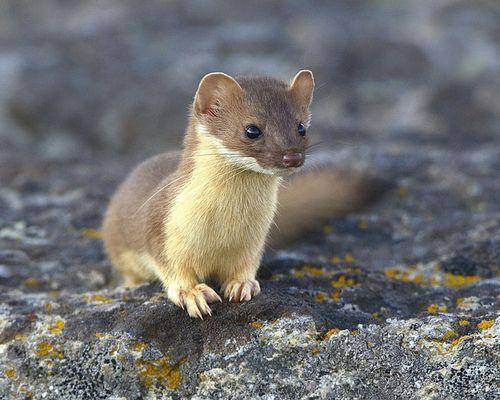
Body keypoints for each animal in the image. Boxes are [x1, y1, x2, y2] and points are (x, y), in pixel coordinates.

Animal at [103, 69, 380, 318]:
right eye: (252, 130)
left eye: (301, 127)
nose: (292, 156)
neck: (225, 226)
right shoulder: (164, 227)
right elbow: (173, 268)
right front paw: (192, 293)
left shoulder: (254, 240)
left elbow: (246, 265)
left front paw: (241, 284)